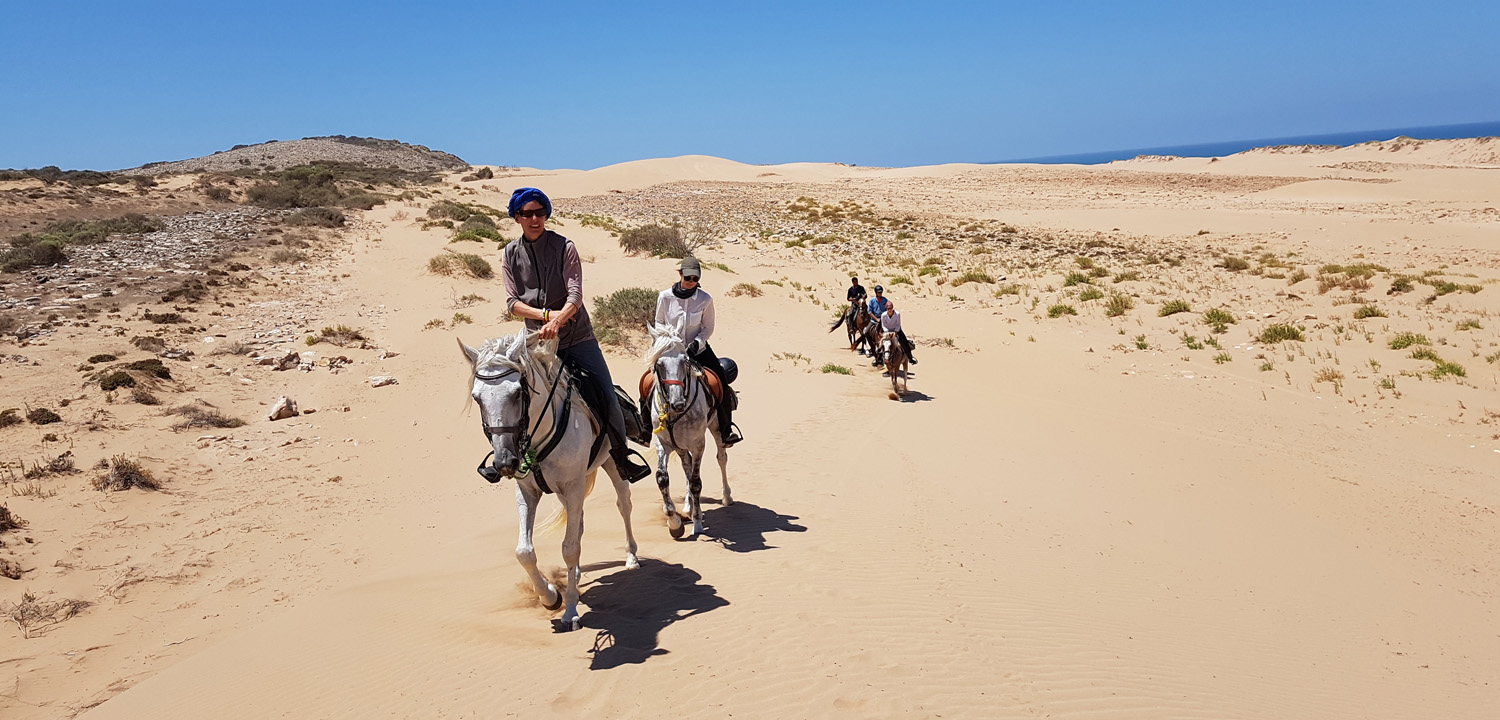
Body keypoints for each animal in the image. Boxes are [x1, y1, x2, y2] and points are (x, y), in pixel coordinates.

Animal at [459, 331, 639, 630]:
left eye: (517, 393)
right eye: (477, 398)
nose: (505, 462)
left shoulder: (574, 486)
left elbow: (569, 548)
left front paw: (571, 611)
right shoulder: (527, 491)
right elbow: (524, 551)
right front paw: (551, 597)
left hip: (612, 465)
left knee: (623, 504)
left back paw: (632, 557)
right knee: (578, 523)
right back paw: (574, 578)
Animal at [644, 322, 732, 539]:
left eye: (684, 361)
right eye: (659, 364)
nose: (678, 403)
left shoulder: (698, 444)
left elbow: (696, 482)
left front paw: (698, 523)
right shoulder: (664, 443)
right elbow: (662, 478)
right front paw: (674, 522)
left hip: (716, 429)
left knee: (721, 458)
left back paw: (726, 497)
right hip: (680, 446)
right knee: (686, 466)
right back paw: (687, 506)